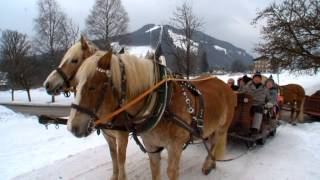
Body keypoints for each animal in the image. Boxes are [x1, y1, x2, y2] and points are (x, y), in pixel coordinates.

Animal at [43, 38, 129, 180]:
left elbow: (121, 161)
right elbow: (113, 157)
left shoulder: (122, 136)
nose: (47, 84)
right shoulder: (108, 136)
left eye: (74, 60)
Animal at [68, 51, 238, 180]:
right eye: (76, 85)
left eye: (92, 87)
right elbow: (154, 171)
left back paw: (208, 165)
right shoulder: (151, 146)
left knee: (215, 144)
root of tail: (225, 85)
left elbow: (170, 172)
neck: (162, 103)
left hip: (222, 127)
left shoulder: (174, 147)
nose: (72, 127)